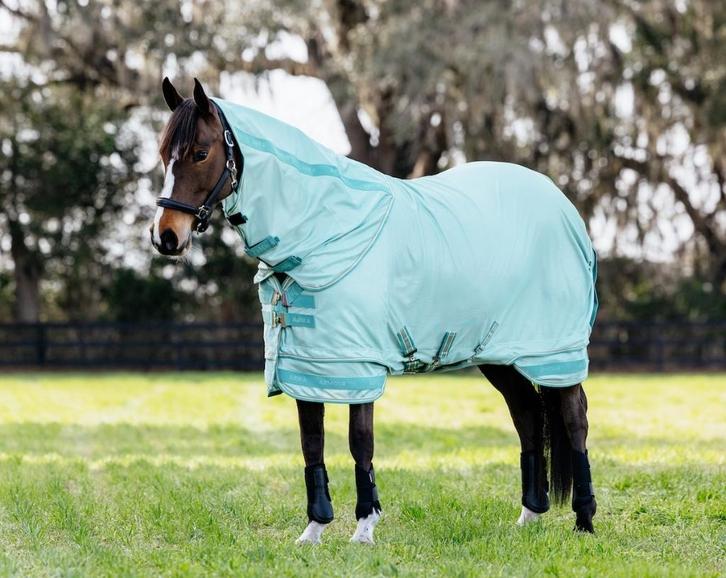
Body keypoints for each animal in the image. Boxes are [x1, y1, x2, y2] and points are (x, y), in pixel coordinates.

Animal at [150, 77, 597, 544]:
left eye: (201, 153)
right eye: (164, 153)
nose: (165, 237)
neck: (326, 230)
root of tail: (562, 205)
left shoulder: (357, 364)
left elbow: (359, 441)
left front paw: (364, 527)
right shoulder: (308, 364)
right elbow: (312, 442)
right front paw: (314, 529)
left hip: (554, 352)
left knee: (574, 420)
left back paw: (584, 520)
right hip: (499, 354)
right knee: (527, 415)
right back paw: (528, 517)